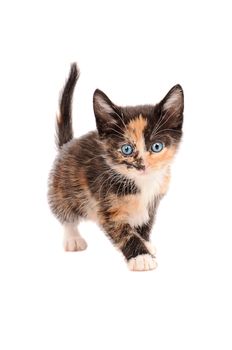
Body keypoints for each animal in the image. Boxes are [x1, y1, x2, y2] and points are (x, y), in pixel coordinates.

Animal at [48, 63, 184, 270]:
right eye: (126, 149)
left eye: (157, 146)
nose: (142, 166)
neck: (142, 182)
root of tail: (67, 145)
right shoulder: (107, 205)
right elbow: (123, 232)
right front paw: (140, 257)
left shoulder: (154, 200)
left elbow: (145, 223)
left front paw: (145, 243)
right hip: (62, 188)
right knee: (64, 212)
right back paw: (73, 238)